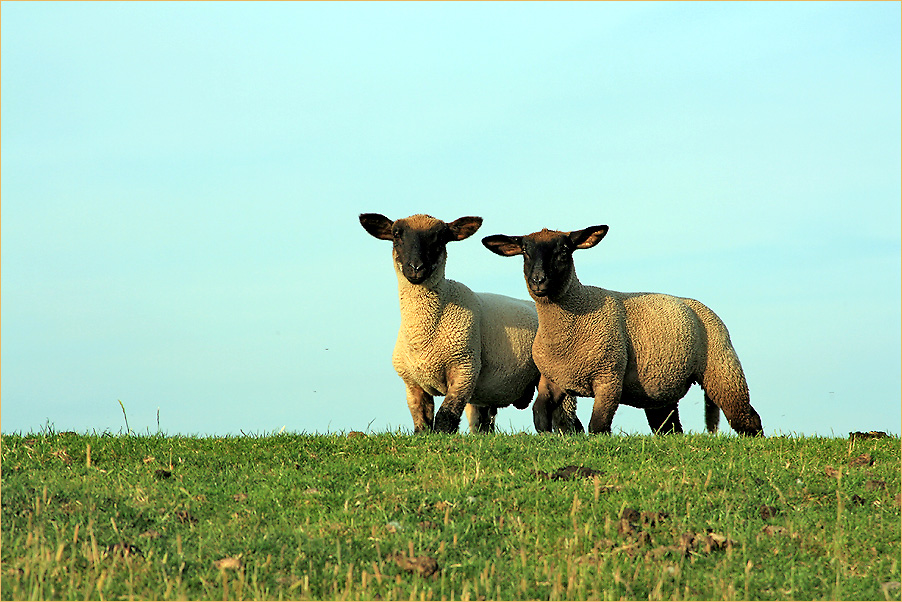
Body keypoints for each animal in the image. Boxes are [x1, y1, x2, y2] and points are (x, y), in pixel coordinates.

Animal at [356, 211, 584, 432]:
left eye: (440, 237)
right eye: (396, 235)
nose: (416, 268)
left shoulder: (464, 368)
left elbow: (445, 419)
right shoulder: (412, 383)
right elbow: (421, 425)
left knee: (567, 422)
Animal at [484, 225, 768, 436]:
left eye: (564, 251)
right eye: (525, 252)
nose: (538, 281)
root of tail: (696, 305)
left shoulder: (609, 376)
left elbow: (597, 426)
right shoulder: (552, 379)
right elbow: (540, 418)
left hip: (722, 368)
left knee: (746, 417)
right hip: (659, 391)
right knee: (670, 428)